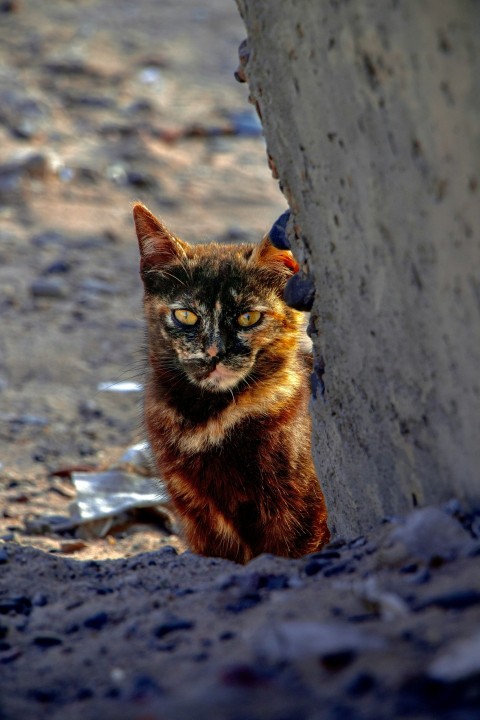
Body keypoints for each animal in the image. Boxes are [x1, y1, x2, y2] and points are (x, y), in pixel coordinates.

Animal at [132, 202, 330, 564]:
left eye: (248, 317)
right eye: (186, 316)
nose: (215, 351)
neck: (209, 418)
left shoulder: (302, 513)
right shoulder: (196, 512)